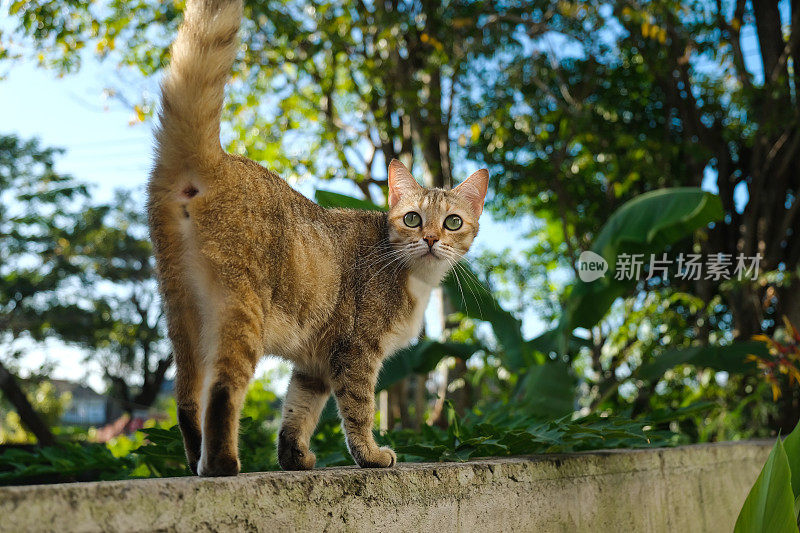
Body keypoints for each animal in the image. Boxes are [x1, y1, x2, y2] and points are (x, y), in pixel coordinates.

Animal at [148, 0, 490, 476]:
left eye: (454, 223)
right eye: (413, 218)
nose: (430, 239)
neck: (413, 277)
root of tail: (216, 158)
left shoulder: (314, 366)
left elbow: (299, 411)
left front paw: (294, 457)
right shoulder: (356, 352)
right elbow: (359, 411)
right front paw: (371, 455)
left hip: (181, 309)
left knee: (186, 399)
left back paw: (198, 460)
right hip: (239, 311)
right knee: (221, 392)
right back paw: (221, 464)